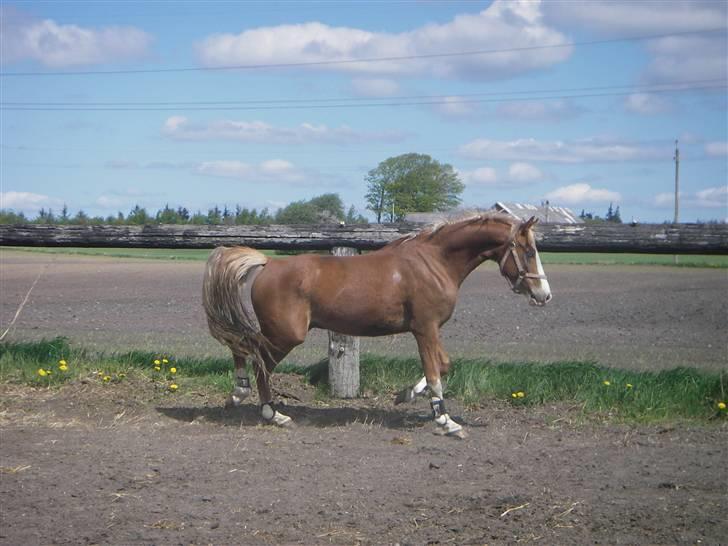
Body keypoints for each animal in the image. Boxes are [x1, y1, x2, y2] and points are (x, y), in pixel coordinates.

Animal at [202, 210, 548, 436]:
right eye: (529, 250)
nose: (544, 295)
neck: (434, 263)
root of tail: (268, 263)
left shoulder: (430, 330)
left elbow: (442, 366)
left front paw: (406, 395)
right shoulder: (425, 328)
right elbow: (435, 373)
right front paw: (446, 421)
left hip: (280, 333)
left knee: (248, 350)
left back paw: (245, 398)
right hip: (286, 334)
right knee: (254, 357)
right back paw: (269, 412)